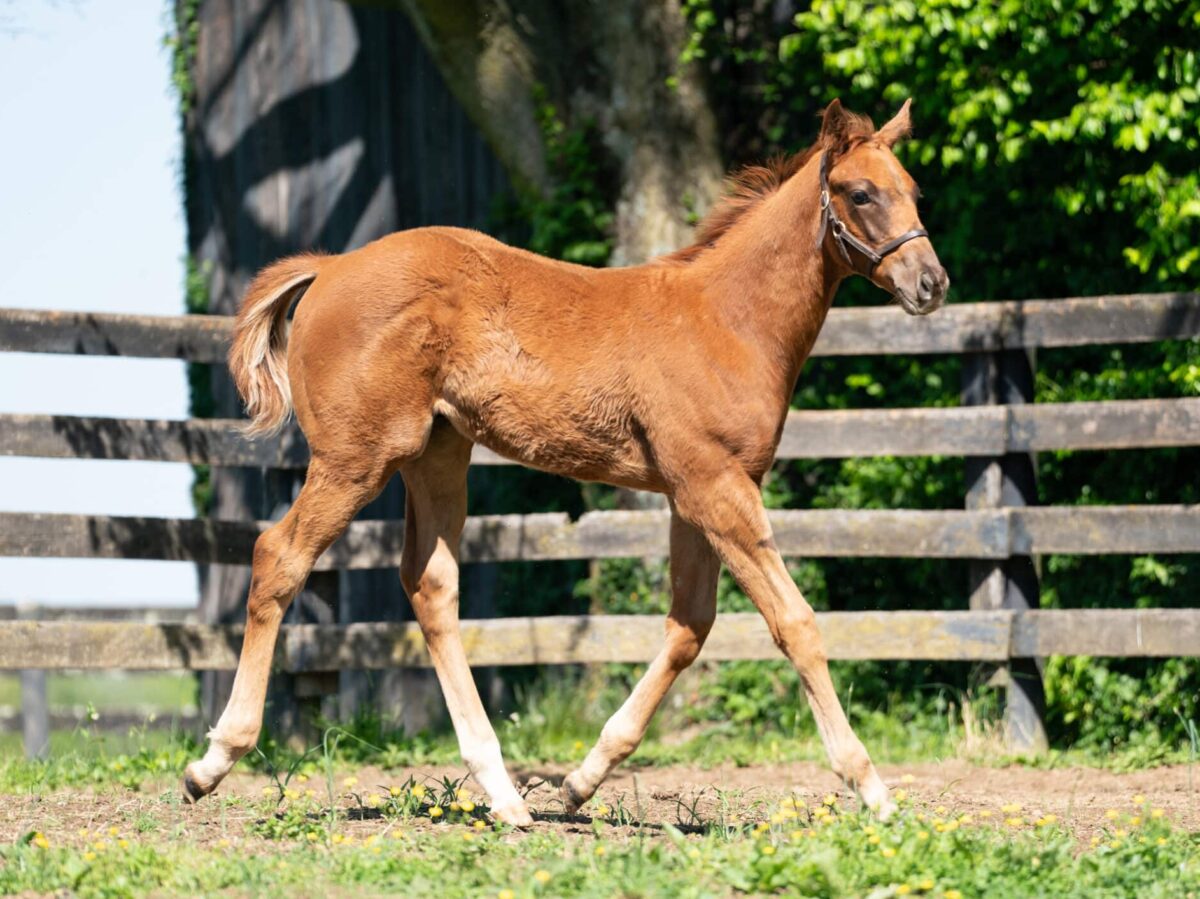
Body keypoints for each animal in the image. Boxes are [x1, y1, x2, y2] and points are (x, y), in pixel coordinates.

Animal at [180, 98, 945, 820]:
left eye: (913, 189)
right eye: (860, 193)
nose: (931, 283)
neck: (727, 319)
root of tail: (331, 266)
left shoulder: (693, 494)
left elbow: (689, 626)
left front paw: (581, 782)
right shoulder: (715, 487)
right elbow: (795, 623)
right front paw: (872, 789)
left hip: (438, 454)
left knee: (430, 585)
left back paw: (504, 794)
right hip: (356, 457)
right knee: (279, 556)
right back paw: (212, 761)